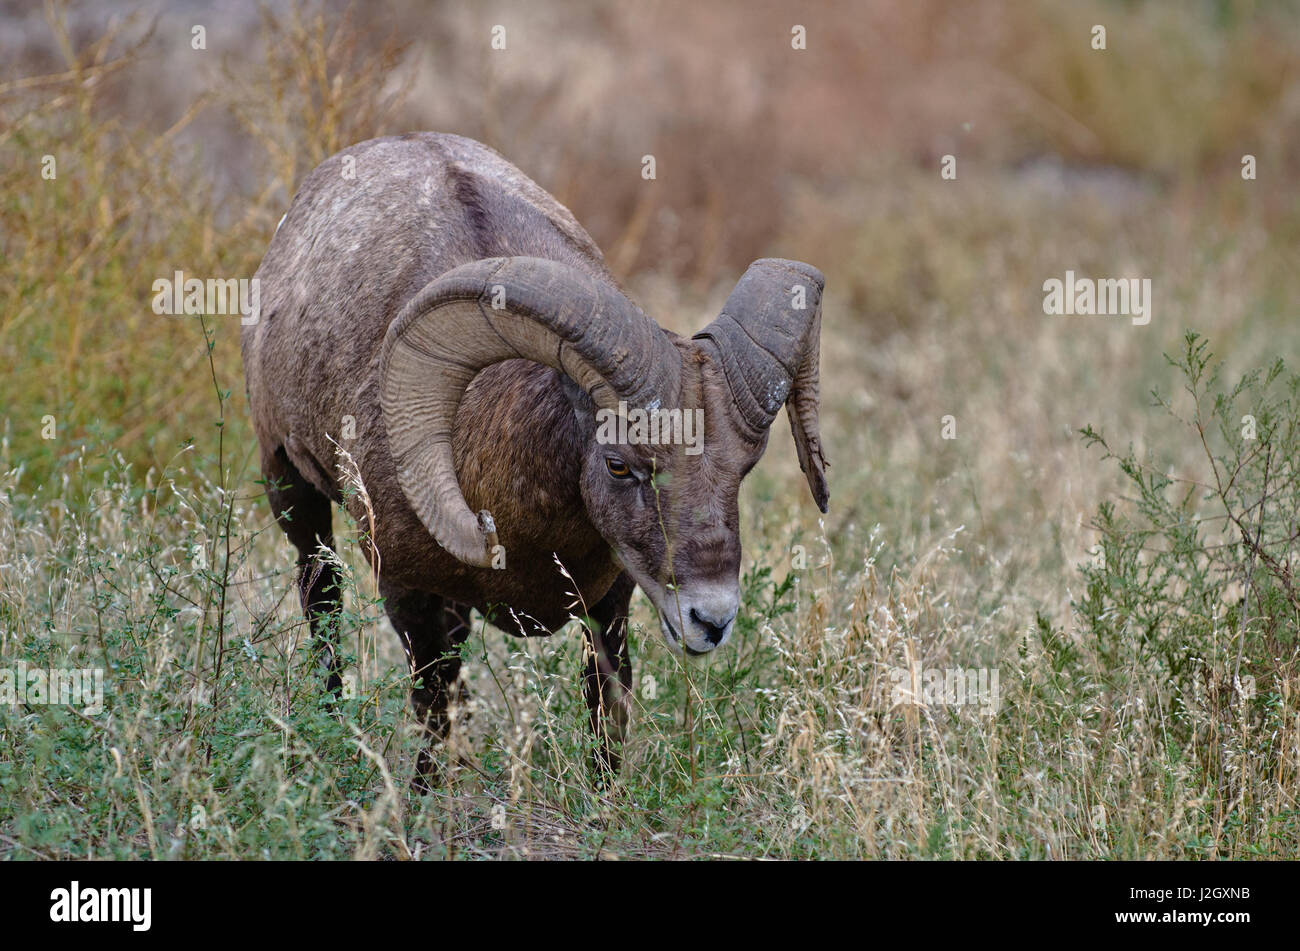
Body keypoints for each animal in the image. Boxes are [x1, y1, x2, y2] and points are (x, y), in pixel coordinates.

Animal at [243, 131, 826, 779]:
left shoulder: (610, 602)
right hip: (293, 493)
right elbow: (430, 705)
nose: (712, 620)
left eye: (744, 468)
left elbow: (605, 707)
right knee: (322, 604)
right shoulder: (404, 591)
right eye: (619, 464)